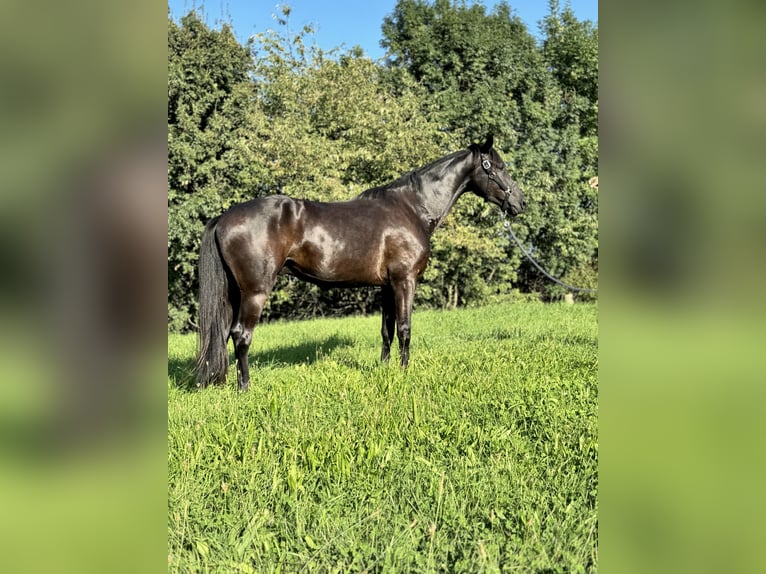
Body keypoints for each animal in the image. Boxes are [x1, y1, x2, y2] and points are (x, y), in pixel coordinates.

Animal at [195, 135, 524, 390]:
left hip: (234, 293)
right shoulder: (405, 280)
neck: (412, 207)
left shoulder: (387, 286)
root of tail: (224, 217)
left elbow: (387, 330)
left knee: (226, 334)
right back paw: (245, 387)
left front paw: (386, 369)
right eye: (499, 167)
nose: (520, 203)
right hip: (255, 292)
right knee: (241, 335)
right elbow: (405, 328)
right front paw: (404, 372)